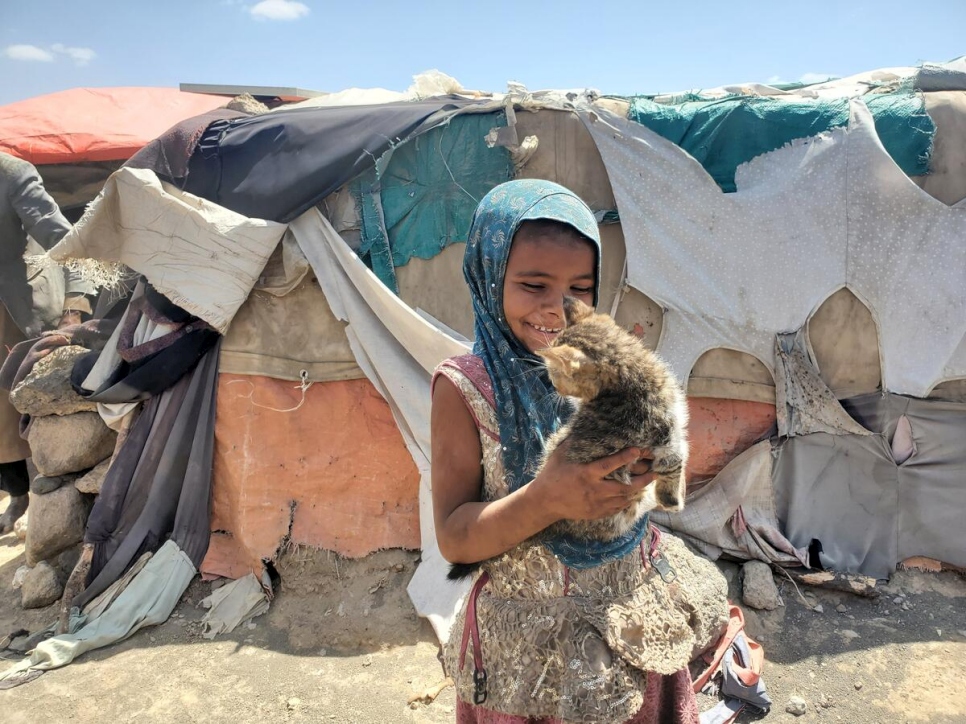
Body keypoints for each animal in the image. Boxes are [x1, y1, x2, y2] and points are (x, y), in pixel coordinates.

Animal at [450, 296, 692, 580]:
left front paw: (676, 493)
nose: (555, 389)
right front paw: (672, 500)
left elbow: (678, 457)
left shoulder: (669, 430)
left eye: (556, 375)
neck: (633, 381)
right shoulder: (665, 434)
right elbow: (674, 462)